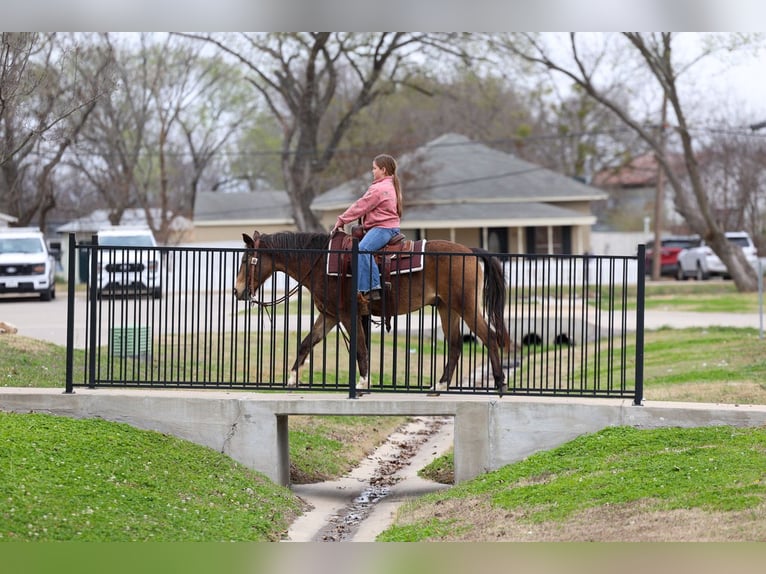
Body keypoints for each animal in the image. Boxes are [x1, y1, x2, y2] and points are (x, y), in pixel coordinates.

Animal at [233, 230, 520, 395]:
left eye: (246, 260)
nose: (237, 291)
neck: (321, 262)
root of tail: (469, 251)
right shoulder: (330, 316)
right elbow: (306, 343)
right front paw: (292, 379)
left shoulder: (347, 315)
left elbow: (360, 348)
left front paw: (363, 383)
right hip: (447, 308)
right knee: (456, 344)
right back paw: (439, 385)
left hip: (466, 306)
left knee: (489, 337)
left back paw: (500, 383)